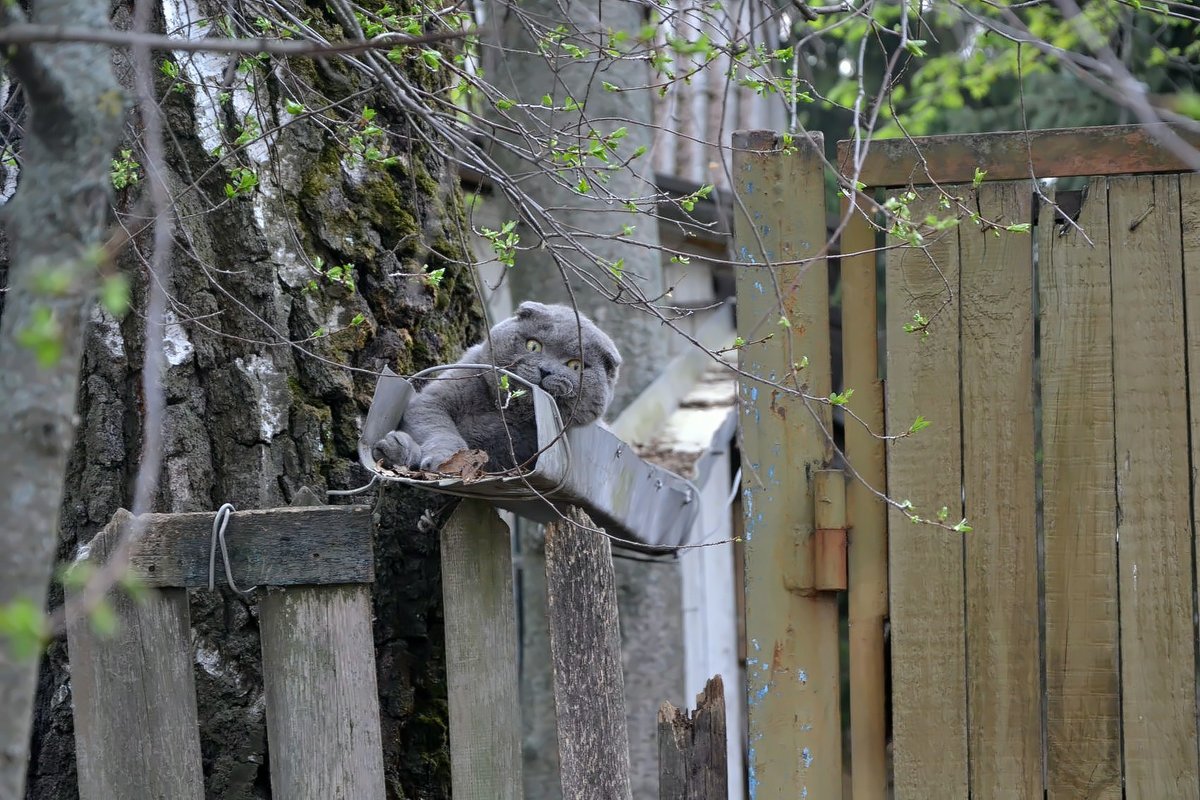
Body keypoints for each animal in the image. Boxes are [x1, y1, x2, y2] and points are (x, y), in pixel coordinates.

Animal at [369, 303, 624, 472]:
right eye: (533, 346)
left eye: (575, 365)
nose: (546, 371)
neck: (504, 411)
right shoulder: (436, 398)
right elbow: (437, 426)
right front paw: (443, 459)